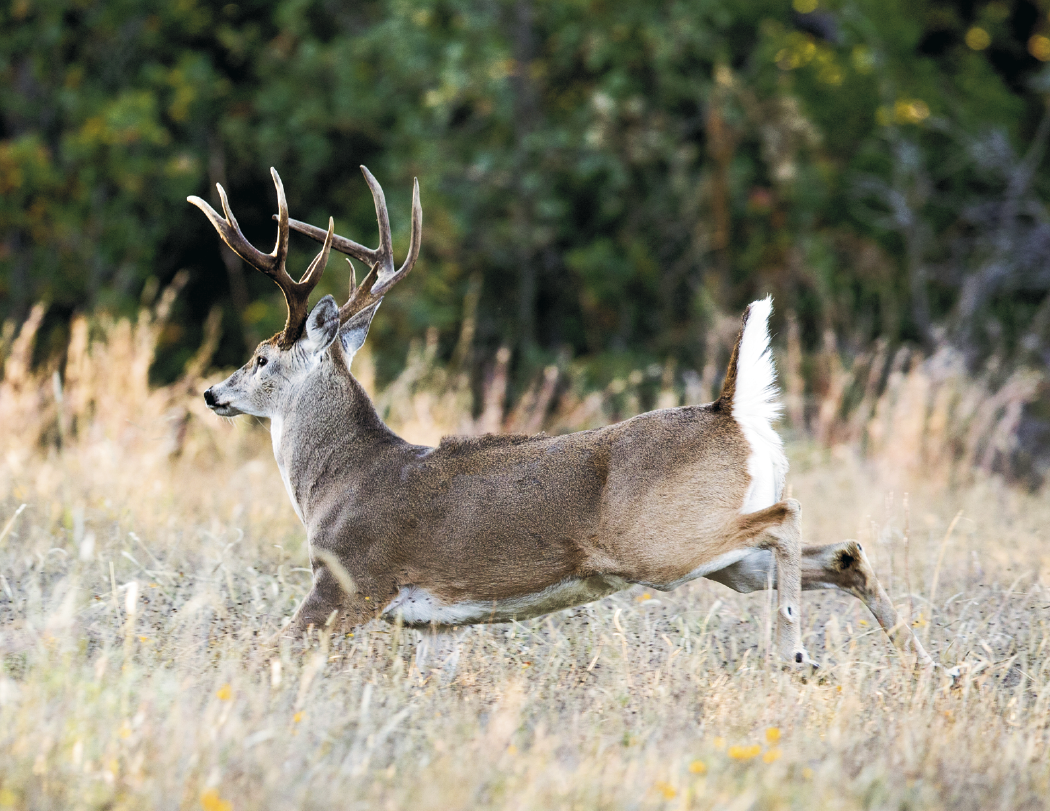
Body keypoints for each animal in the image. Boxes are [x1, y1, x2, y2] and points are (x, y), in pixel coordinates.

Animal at [189, 167, 934, 669]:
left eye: (260, 357)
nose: (211, 392)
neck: (338, 481)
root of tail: (729, 410)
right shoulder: (438, 624)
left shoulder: (349, 579)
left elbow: (272, 650)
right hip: (725, 559)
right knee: (846, 552)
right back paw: (928, 667)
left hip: (661, 541)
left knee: (789, 517)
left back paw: (795, 652)